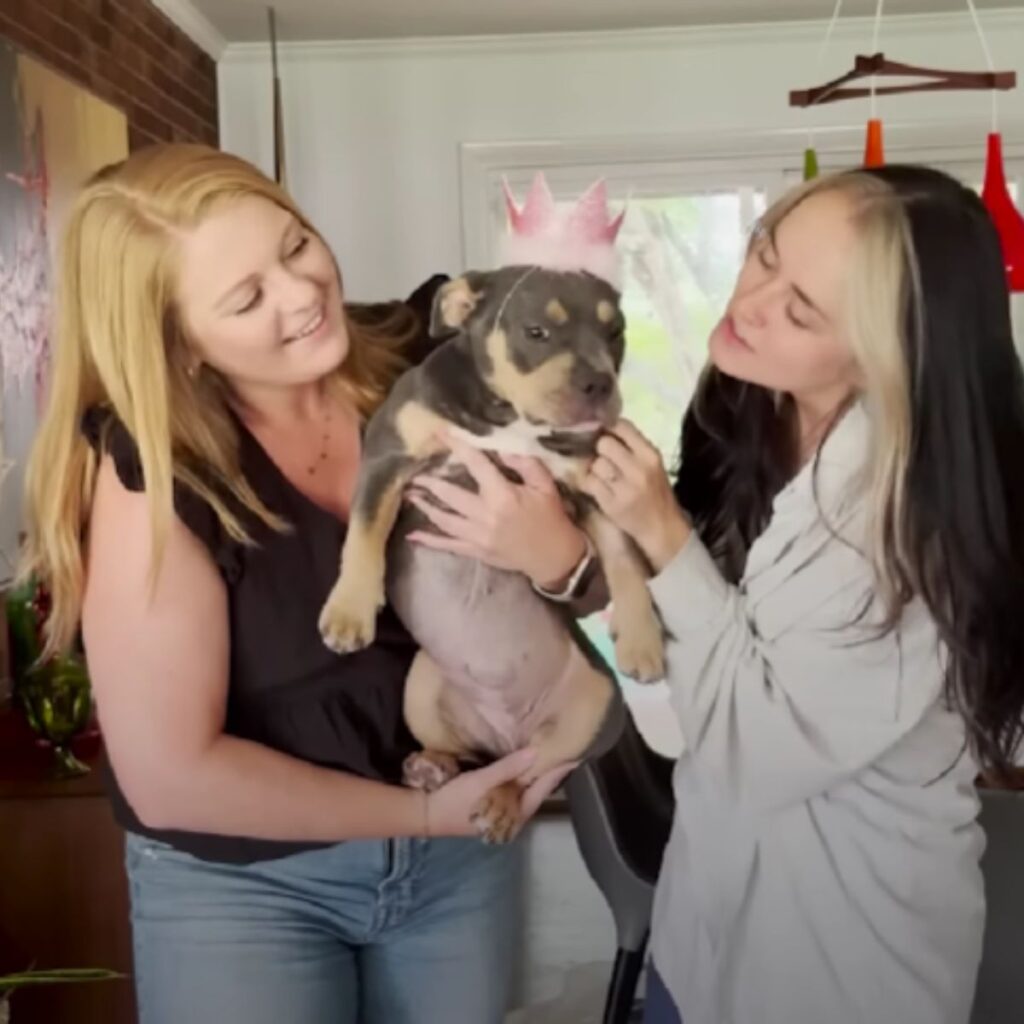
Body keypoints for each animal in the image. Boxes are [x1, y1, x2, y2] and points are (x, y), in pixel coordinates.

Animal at [319, 268, 667, 843]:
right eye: (536, 332)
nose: (598, 384)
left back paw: (502, 802)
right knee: (465, 753)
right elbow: (364, 532)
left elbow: (622, 557)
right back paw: (433, 766)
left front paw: (643, 641)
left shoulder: (593, 487)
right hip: (420, 688)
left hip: (595, 709)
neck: (509, 418)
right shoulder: (390, 455)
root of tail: (507, 733)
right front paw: (349, 611)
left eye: (615, 332)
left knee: (530, 770)